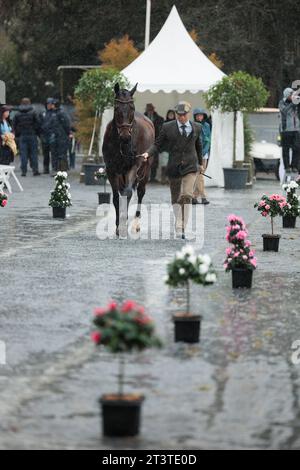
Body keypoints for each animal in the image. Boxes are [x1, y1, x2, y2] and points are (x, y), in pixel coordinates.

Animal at [102, 83, 155, 237]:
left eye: (132, 108)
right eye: (116, 108)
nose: (125, 136)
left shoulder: (133, 167)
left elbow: (129, 193)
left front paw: (124, 225)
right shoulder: (111, 169)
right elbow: (115, 197)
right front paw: (118, 226)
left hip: (145, 169)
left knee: (140, 191)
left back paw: (136, 223)